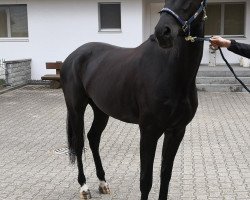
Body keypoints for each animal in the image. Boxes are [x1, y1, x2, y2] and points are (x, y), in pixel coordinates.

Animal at [61, 0, 207, 199]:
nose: (163, 32)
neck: (172, 72)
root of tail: (73, 56)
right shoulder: (149, 131)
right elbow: (145, 181)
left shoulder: (176, 131)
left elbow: (165, 175)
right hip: (76, 109)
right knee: (79, 143)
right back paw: (84, 187)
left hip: (101, 110)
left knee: (93, 138)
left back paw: (103, 183)